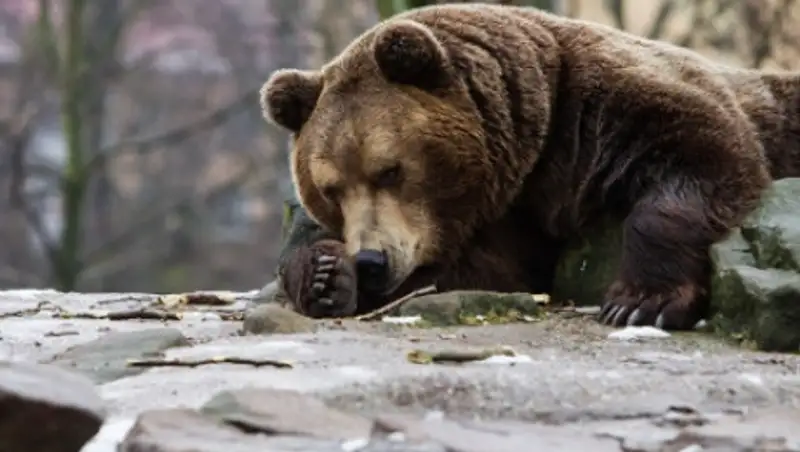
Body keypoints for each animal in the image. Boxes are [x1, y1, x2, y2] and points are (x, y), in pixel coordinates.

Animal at [260, 3, 800, 329]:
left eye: (389, 170)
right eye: (332, 189)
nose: (372, 260)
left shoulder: (607, 114)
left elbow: (706, 152)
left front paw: (640, 301)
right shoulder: (513, 218)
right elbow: (482, 272)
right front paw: (326, 275)